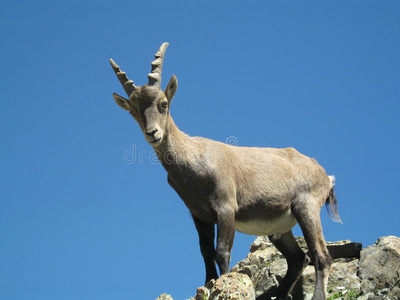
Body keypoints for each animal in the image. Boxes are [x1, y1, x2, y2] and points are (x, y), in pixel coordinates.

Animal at [110, 42, 340, 300]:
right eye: (133, 111)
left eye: (163, 104)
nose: (153, 133)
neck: (195, 161)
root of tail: (324, 174)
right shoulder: (199, 215)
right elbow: (205, 251)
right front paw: (208, 283)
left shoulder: (226, 207)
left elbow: (221, 251)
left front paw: (225, 282)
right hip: (279, 226)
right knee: (298, 259)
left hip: (306, 206)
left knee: (321, 257)